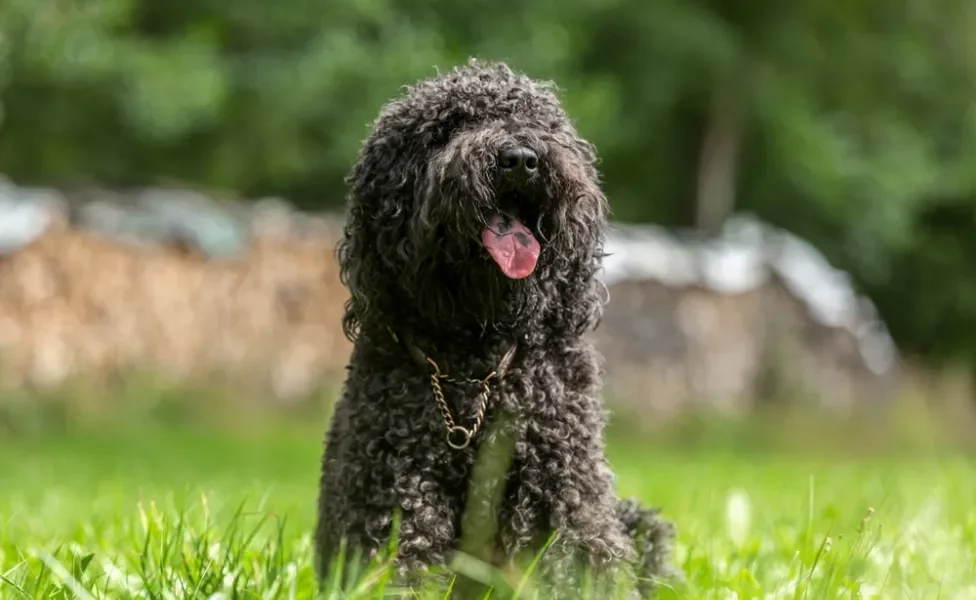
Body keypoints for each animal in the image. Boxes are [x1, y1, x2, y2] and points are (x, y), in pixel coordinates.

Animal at [314, 59, 680, 596]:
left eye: (539, 122)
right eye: (446, 129)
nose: (521, 159)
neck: (475, 362)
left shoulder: (565, 490)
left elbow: (586, 561)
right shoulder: (399, 492)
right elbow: (408, 565)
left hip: (639, 523)